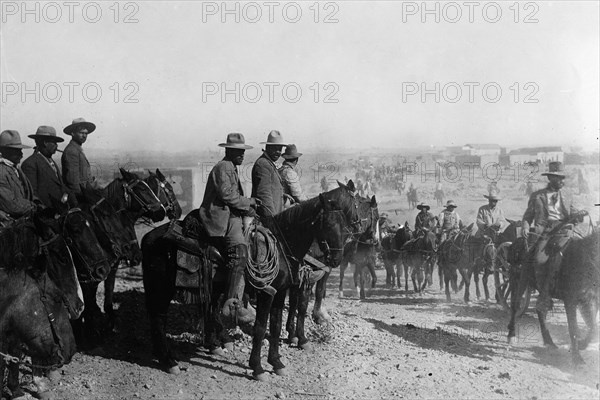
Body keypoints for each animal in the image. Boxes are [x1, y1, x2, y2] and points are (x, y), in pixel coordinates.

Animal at [508, 228, 596, 366]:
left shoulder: (590, 300)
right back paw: (511, 335)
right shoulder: (570, 301)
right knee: (516, 306)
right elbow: (573, 328)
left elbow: (593, 326)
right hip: (521, 280)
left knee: (540, 309)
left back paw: (549, 341)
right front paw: (577, 358)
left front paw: (581, 345)